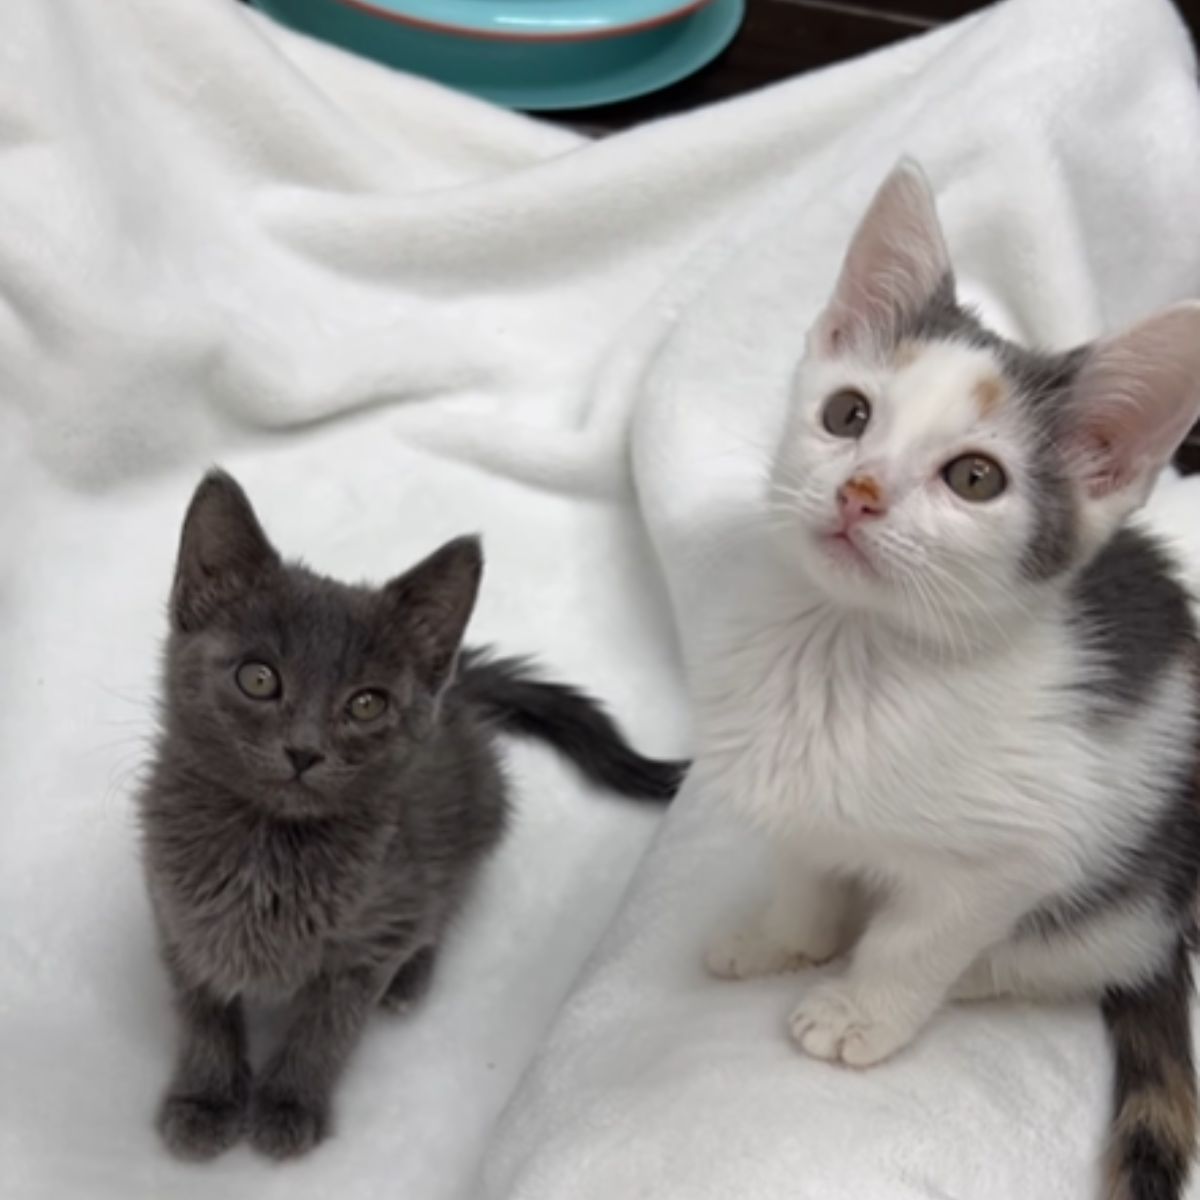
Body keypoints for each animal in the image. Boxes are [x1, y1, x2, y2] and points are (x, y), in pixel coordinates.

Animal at [138, 470, 686, 1161]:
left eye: (366, 704)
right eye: (258, 678)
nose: (303, 750)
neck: (268, 849)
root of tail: (458, 691)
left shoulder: (372, 933)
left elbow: (328, 1027)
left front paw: (289, 1104)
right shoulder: (175, 910)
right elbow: (201, 1009)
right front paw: (205, 1098)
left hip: (468, 829)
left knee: (442, 909)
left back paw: (410, 978)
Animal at [700, 159, 1200, 1200]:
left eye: (975, 479)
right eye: (847, 414)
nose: (860, 491)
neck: (847, 651)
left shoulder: (1018, 847)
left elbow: (920, 936)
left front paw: (859, 1009)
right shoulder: (802, 804)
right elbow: (804, 864)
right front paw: (782, 937)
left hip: (1123, 892)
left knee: (1062, 953)